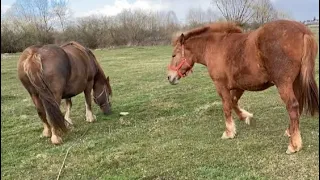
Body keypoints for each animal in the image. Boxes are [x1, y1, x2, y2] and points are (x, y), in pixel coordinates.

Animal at [168, 20, 318, 155]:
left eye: (174, 55)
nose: (170, 77)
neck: (215, 46)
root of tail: (303, 31)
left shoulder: (221, 85)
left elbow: (226, 107)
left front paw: (229, 132)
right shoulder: (239, 86)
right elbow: (233, 102)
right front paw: (246, 117)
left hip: (284, 84)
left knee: (292, 106)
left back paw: (294, 145)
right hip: (296, 82)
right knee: (298, 105)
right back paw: (290, 132)